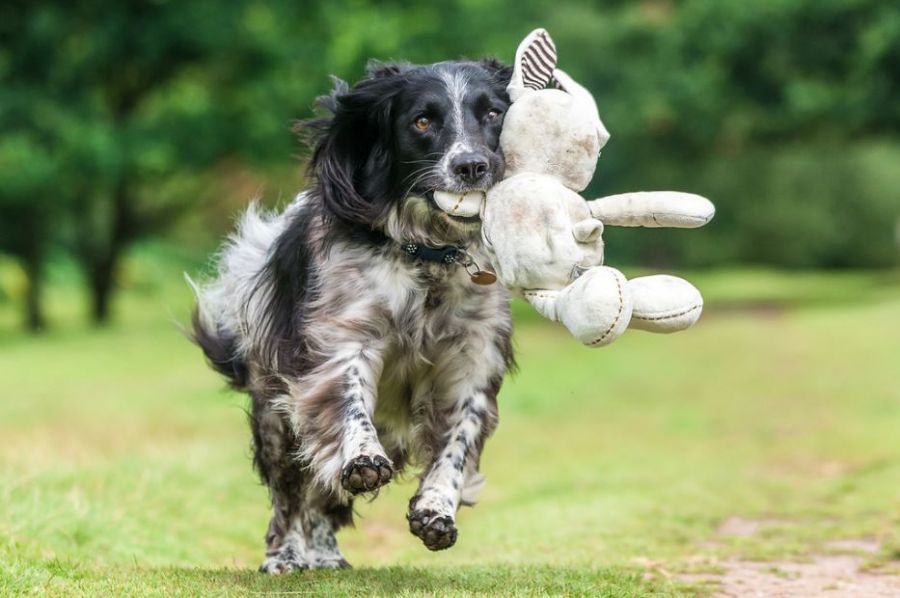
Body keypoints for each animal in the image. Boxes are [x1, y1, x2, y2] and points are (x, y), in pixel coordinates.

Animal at [192, 58, 516, 576]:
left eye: (492, 113)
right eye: (422, 121)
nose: (471, 166)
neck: (429, 257)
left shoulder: (473, 357)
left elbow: (456, 443)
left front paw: (436, 510)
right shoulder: (343, 336)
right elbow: (348, 403)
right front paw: (362, 458)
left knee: (322, 498)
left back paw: (325, 553)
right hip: (275, 415)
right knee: (291, 494)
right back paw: (287, 555)